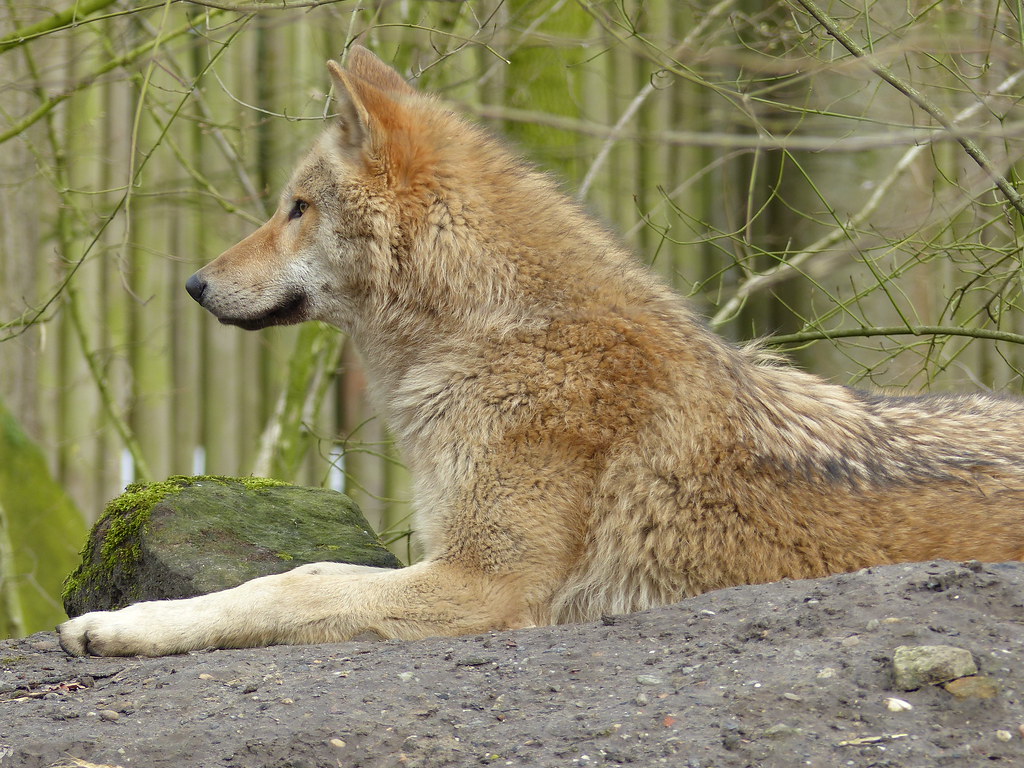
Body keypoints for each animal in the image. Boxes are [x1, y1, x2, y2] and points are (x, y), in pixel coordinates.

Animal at [59, 46, 1024, 657]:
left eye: (296, 207)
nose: (194, 283)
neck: (500, 333)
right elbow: (302, 572)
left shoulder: (485, 582)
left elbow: (292, 583)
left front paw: (125, 626)